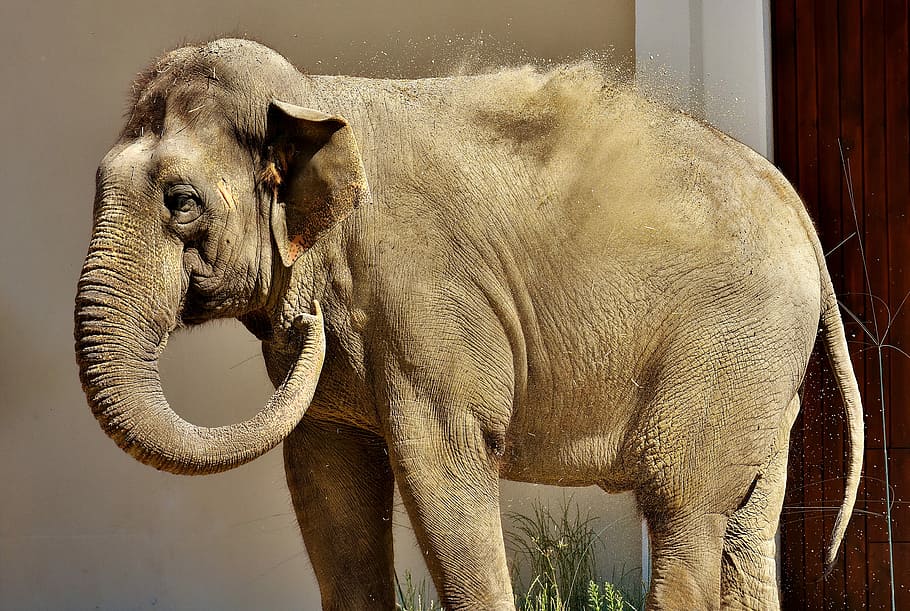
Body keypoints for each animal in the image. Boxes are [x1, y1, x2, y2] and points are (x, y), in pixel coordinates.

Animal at [75, 38, 863, 610]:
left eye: (181, 201)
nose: (300, 324)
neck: (311, 97)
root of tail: (797, 211)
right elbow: (328, 476)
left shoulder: (429, 299)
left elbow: (442, 462)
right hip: (762, 372)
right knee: (744, 530)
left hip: (728, 349)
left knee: (684, 512)